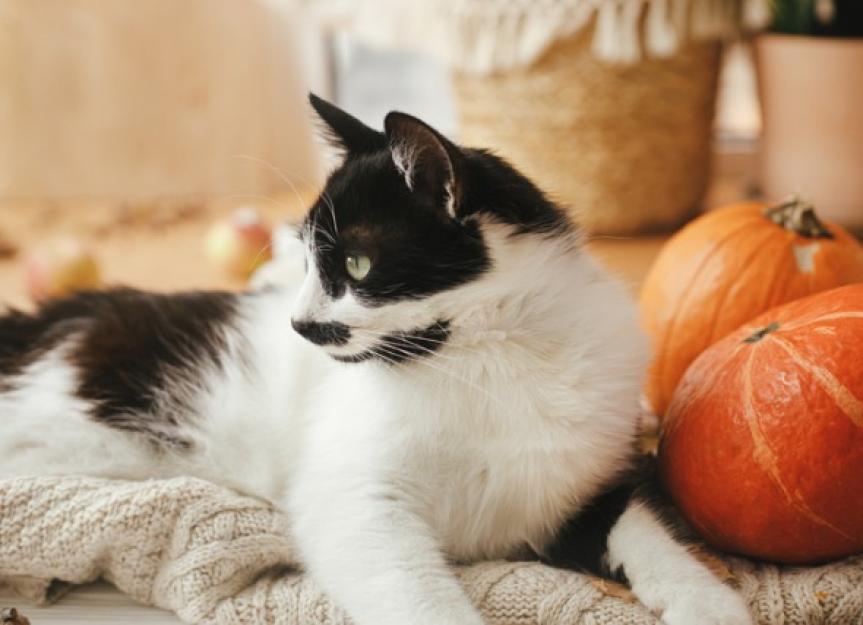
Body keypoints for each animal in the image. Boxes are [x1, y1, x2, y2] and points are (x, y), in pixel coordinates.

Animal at [0, 96, 752, 624]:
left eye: (357, 264)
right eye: (304, 260)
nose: (298, 323)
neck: (485, 357)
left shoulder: (581, 481)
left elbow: (641, 528)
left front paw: (707, 601)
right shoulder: (356, 497)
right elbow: (412, 589)